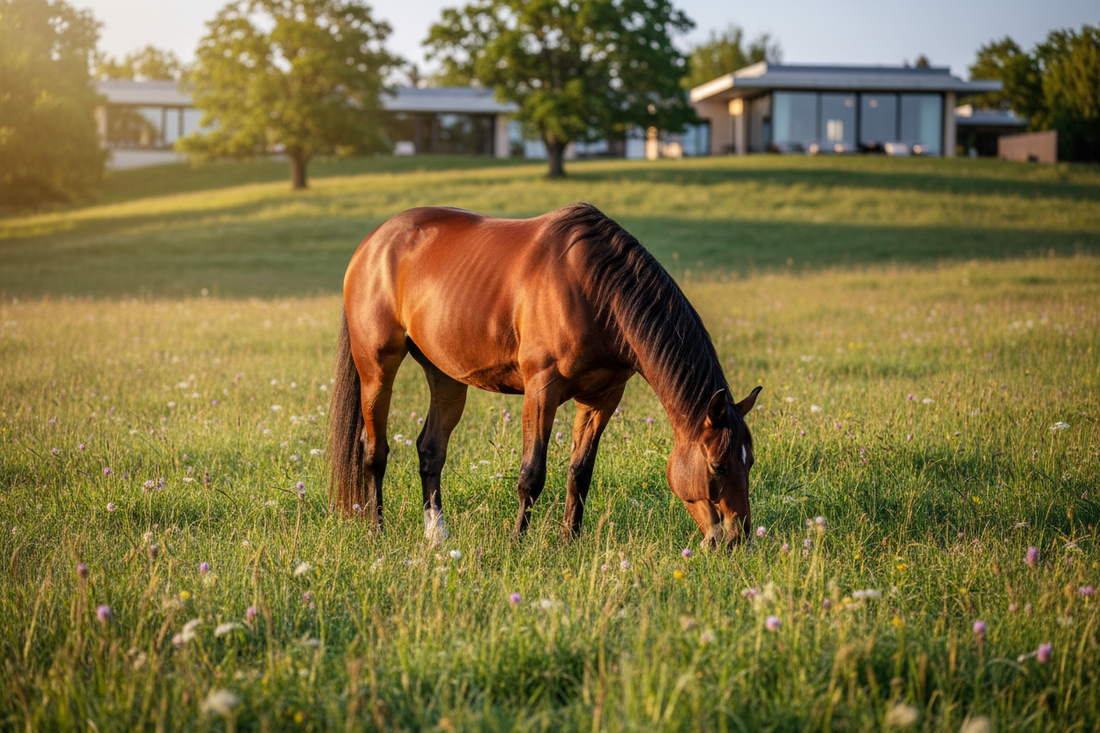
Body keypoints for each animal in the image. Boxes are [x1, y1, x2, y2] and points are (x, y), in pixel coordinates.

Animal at [329, 203, 761, 547]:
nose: (737, 538)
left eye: (750, 461)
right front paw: (518, 541)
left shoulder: (603, 398)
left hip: (446, 376)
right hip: (377, 368)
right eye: (719, 466)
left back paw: (436, 535)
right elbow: (531, 474)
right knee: (374, 451)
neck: (595, 290)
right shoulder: (541, 389)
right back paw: (377, 530)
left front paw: (569, 539)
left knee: (431, 450)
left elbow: (580, 473)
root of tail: (373, 243)